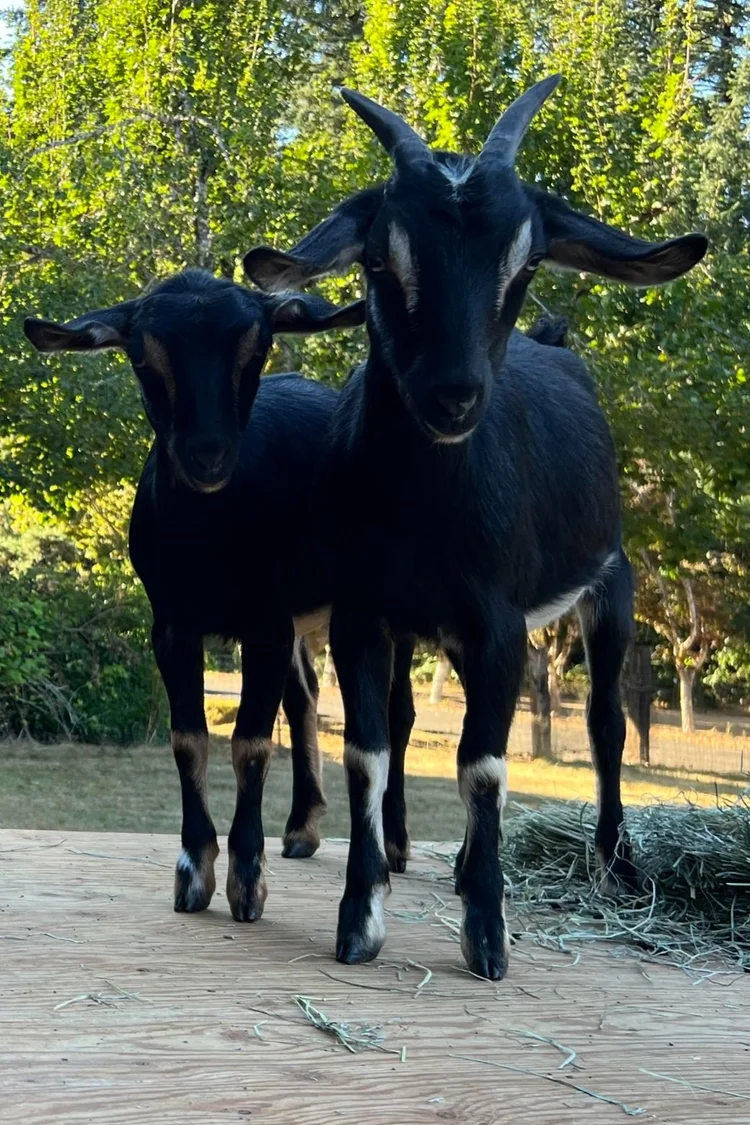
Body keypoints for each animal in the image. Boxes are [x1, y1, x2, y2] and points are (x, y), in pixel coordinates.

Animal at [23, 270, 394, 918]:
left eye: (260, 345)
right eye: (141, 353)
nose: (208, 454)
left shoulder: (265, 621)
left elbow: (250, 745)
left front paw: (248, 879)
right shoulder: (174, 622)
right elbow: (188, 739)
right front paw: (194, 872)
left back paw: (393, 848)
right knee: (305, 695)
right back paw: (302, 828)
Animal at [245, 76, 708, 978]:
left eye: (524, 263)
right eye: (379, 259)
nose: (452, 395)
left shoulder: (499, 623)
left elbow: (486, 766)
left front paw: (487, 933)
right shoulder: (365, 614)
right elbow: (370, 750)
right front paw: (361, 916)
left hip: (613, 581)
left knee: (604, 719)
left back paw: (614, 862)